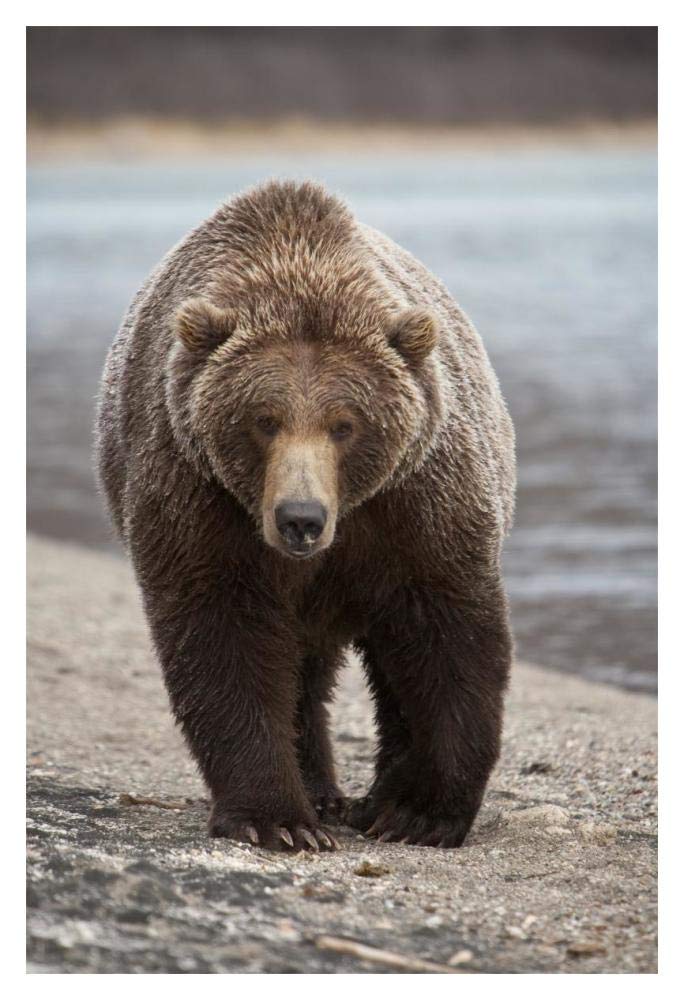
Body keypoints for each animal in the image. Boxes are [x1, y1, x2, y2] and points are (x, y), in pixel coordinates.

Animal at [96, 179, 515, 852]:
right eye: (263, 419)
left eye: (346, 424)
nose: (300, 518)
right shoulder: (199, 496)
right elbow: (223, 636)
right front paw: (278, 818)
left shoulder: (415, 502)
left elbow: (445, 635)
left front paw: (419, 812)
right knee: (301, 672)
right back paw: (319, 794)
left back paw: (372, 800)